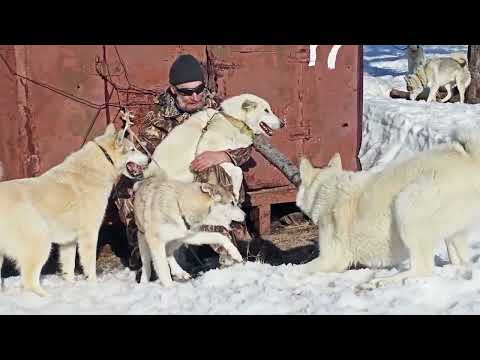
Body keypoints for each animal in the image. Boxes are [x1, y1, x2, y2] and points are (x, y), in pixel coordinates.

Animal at [0, 124, 148, 296]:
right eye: (132, 149)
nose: (149, 158)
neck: (98, 166)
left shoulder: (68, 242)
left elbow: (69, 269)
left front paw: (71, 286)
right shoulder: (89, 235)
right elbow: (89, 266)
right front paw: (94, 286)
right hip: (41, 244)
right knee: (29, 282)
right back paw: (48, 297)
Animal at [296, 126, 480, 286]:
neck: (326, 187)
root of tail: (470, 159)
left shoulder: (331, 258)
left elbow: (300, 269)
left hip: (406, 206)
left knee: (423, 270)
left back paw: (383, 281)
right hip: (454, 234)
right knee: (460, 261)